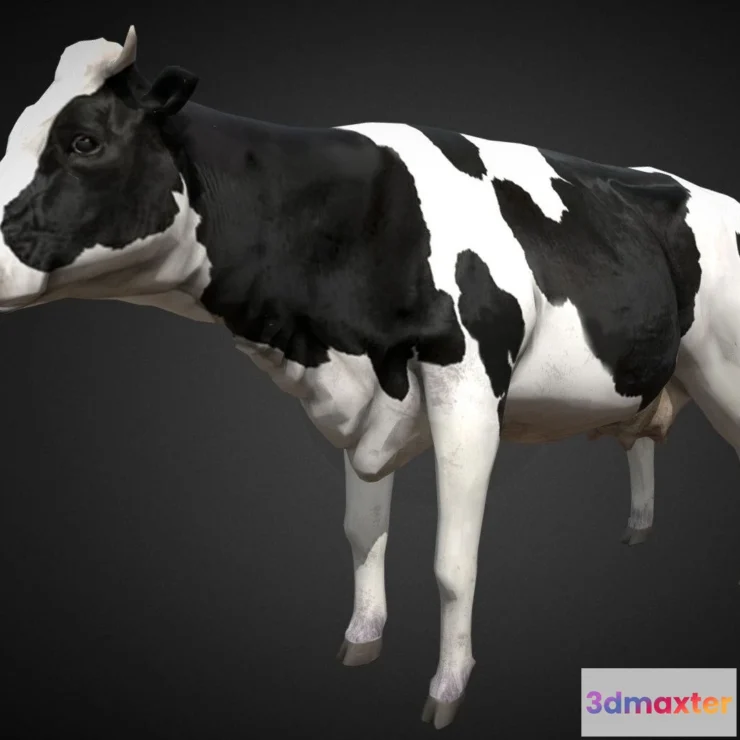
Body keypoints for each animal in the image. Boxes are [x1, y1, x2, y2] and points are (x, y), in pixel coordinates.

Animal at [0, 27, 725, 729]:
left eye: (84, 141)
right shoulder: (368, 399)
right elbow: (361, 532)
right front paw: (362, 639)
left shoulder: (467, 387)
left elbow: (452, 564)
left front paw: (447, 688)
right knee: (641, 438)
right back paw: (638, 525)